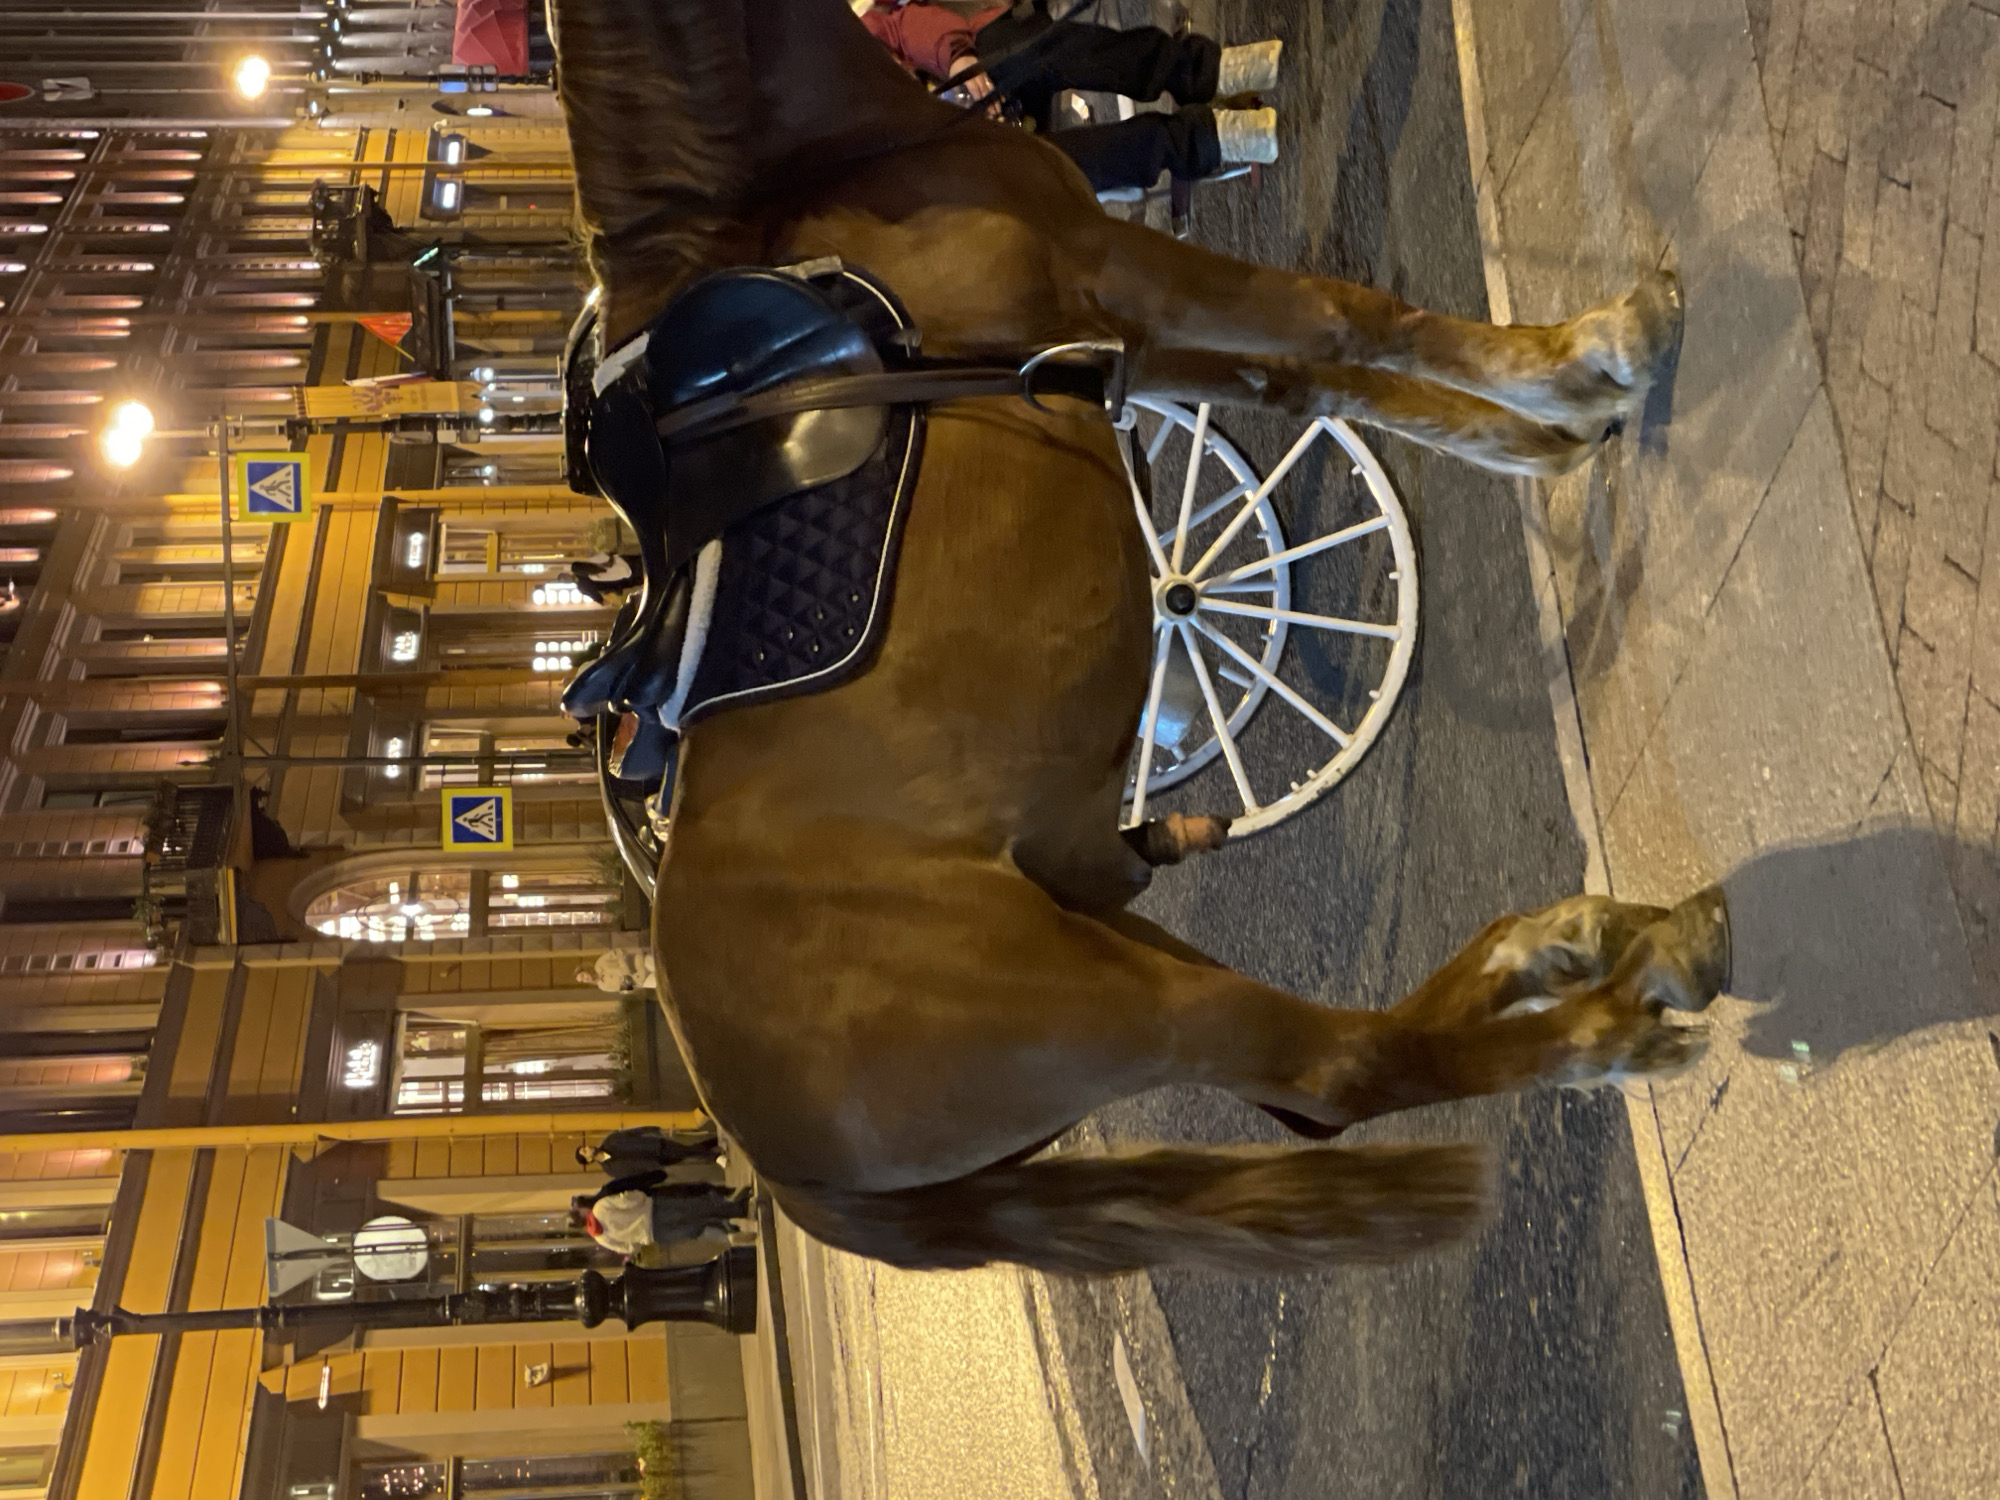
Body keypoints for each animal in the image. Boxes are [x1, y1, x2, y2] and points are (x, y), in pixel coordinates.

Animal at [550, 0, 1728, 1275]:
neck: (802, 170)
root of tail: (773, 1160)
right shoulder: (1120, 271)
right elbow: (1343, 319)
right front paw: (1591, 358)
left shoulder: (1122, 339)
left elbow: (1319, 380)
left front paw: (1544, 422)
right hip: (1123, 1006)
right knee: (1345, 1068)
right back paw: (1613, 1025)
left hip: (1108, 931)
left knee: (1323, 1082)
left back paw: (1568, 947)